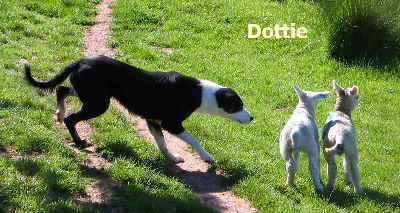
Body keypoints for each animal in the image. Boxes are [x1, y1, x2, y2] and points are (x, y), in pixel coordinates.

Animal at [21, 56, 252, 163]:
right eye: (238, 106)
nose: (252, 118)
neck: (201, 93)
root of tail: (81, 61)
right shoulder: (171, 123)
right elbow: (194, 139)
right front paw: (207, 157)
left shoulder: (154, 121)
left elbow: (162, 143)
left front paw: (172, 159)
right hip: (98, 103)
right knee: (71, 118)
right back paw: (79, 142)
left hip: (91, 95)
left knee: (61, 90)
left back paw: (59, 113)